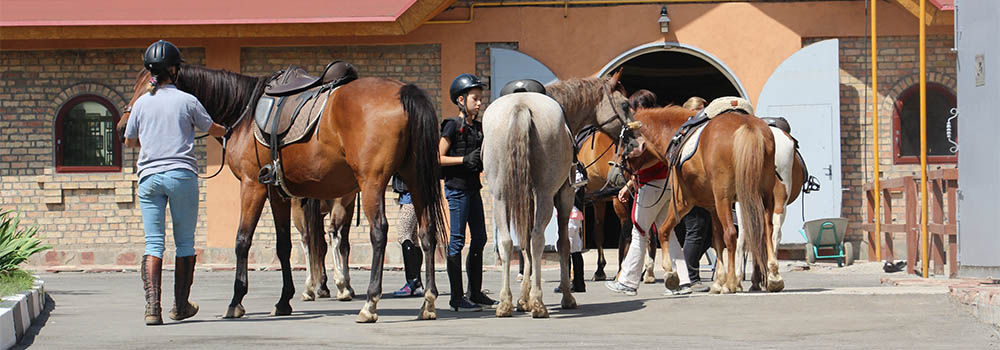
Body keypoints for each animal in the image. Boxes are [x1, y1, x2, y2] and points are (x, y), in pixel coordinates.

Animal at [117, 63, 446, 322]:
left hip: (371, 183)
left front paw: (236, 302)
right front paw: (284, 300)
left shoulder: (251, 185)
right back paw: (427, 302)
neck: (244, 112)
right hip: (415, 180)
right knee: (427, 234)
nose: (123, 127)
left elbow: (242, 241)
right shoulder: (276, 192)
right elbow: (284, 245)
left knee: (378, 233)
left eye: (148, 86)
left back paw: (369, 303)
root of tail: (404, 91)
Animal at [484, 71, 632, 318]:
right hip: (545, 196)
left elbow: (523, 245)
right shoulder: (565, 197)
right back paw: (538, 303)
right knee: (537, 239)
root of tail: (521, 106)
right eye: (625, 104)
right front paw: (564, 296)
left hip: (500, 197)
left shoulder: (527, 199)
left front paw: (523, 299)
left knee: (507, 241)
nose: (635, 139)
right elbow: (563, 244)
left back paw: (505, 302)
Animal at [624, 105, 780, 294]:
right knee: (767, 230)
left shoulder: (682, 202)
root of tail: (747, 125)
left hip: (724, 199)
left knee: (731, 234)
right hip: (764, 195)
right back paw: (773, 277)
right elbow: (717, 240)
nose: (621, 172)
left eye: (622, 141)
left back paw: (732, 283)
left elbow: (663, 231)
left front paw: (670, 273)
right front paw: (718, 281)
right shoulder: (712, 206)